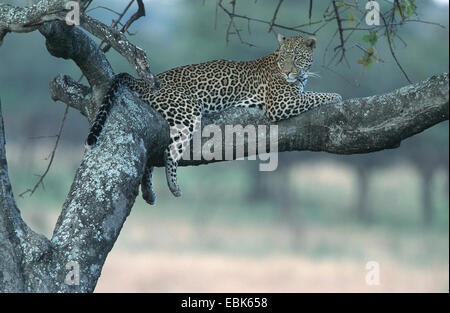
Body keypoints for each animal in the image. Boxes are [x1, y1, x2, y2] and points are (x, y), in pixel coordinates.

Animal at [86, 34, 342, 205]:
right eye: (284, 59)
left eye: (297, 58)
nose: (288, 72)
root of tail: (145, 80)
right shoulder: (281, 103)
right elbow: (315, 95)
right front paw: (336, 95)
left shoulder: (291, 96)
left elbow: (310, 93)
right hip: (186, 112)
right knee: (169, 151)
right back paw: (173, 186)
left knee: (153, 152)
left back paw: (148, 192)